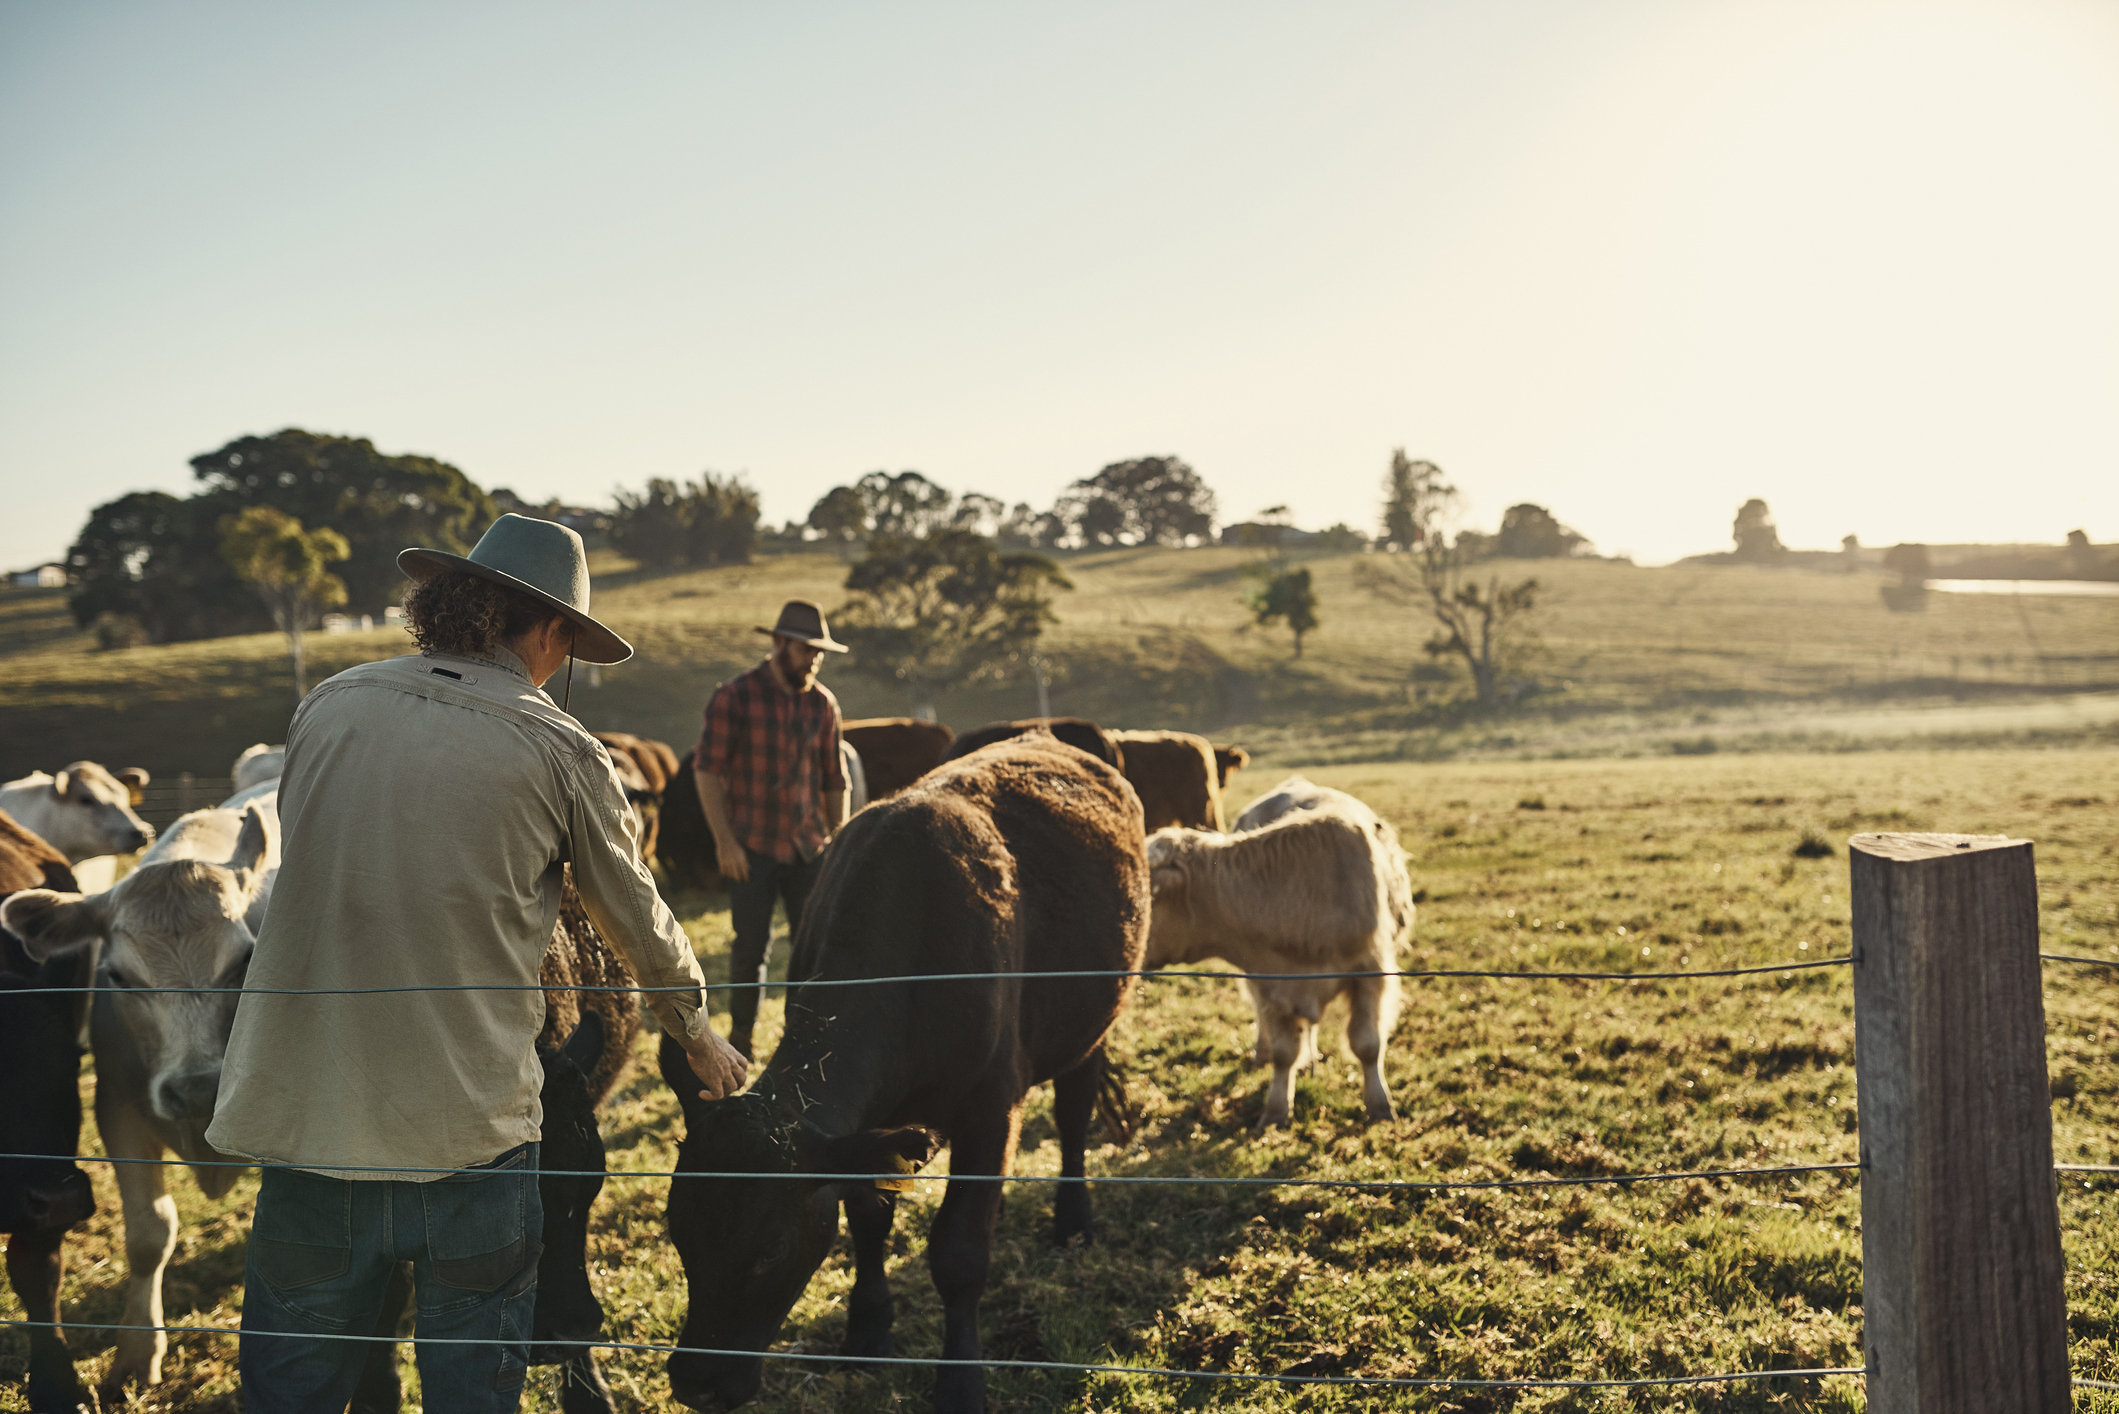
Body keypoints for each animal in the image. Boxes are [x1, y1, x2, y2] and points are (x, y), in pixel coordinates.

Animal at [0, 784, 277, 1390]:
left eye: (245, 960)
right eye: (118, 976)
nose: (196, 1088)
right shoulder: (117, 1111)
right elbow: (150, 1235)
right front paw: (136, 1351)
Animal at [1144, 775, 1407, 1127]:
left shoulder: (1370, 973)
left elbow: (1367, 1045)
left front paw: (1379, 1105)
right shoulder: (1270, 983)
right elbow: (1284, 1053)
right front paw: (1276, 1108)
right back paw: (1264, 1054)